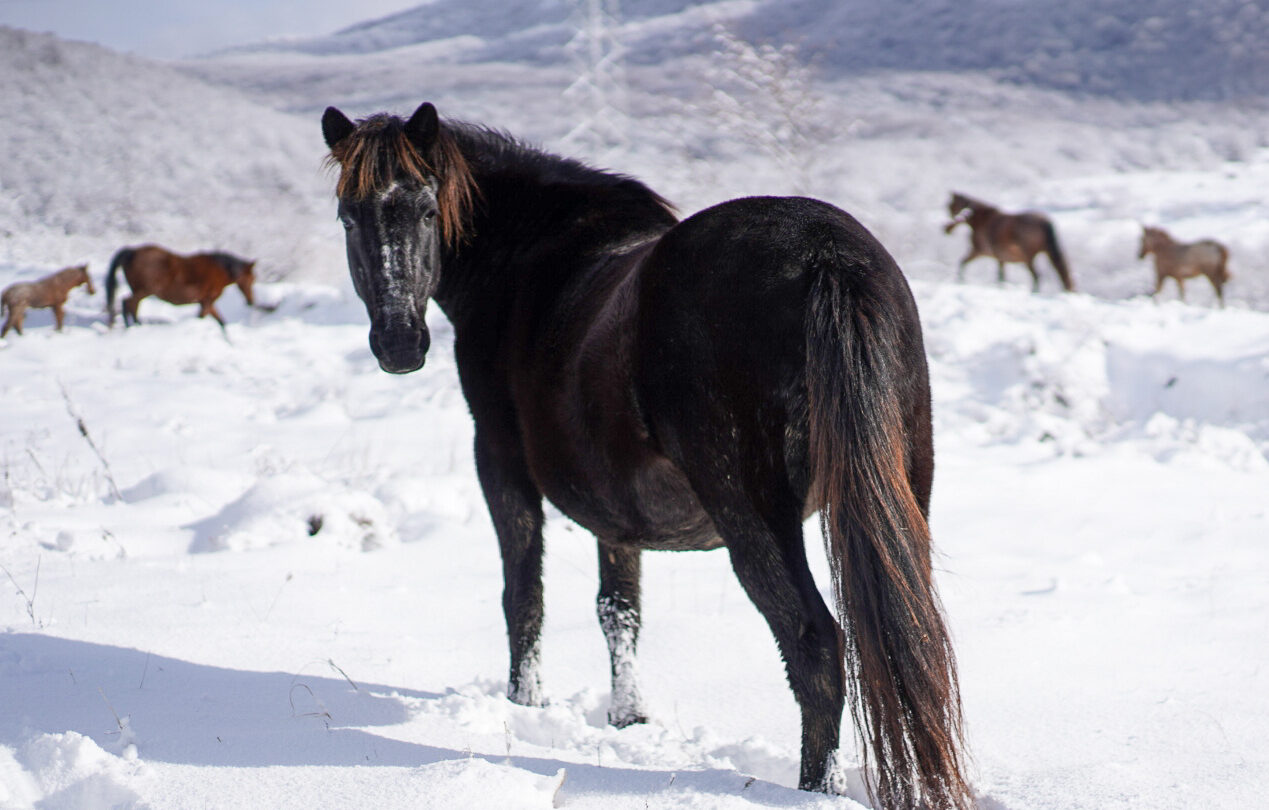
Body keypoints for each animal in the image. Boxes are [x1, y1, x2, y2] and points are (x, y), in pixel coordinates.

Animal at [105, 245, 256, 330]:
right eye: (252, 279)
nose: (251, 301)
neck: (220, 270)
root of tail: (132, 252)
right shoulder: (208, 301)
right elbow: (202, 318)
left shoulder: (205, 302)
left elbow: (221, 322)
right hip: (144, 290)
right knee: (128, 303)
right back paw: (131, 326)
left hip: (139, 290)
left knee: (132, 306)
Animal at [321, 103, 971, 809]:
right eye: (348, 216)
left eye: (426, 211)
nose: (399, 344)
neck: (528, 259)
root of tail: (826, 255)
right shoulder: (617, 513)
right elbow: (619, 610)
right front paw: (628, 718)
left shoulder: (499, 461)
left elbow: (524, 593)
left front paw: (524, 704)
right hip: (906, 488)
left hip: (753, 516)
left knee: (815, 646)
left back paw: (813, 790)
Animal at [944, 191, 1075, 292]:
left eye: (950, 206)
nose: (947, 228)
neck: (982, 221)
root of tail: (1044, 221)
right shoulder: (1000, 259)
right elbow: (1001, 276)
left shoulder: (979, 251)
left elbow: (962, 262)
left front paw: (960, 280)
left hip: (1029, 258)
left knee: (1036, 276)